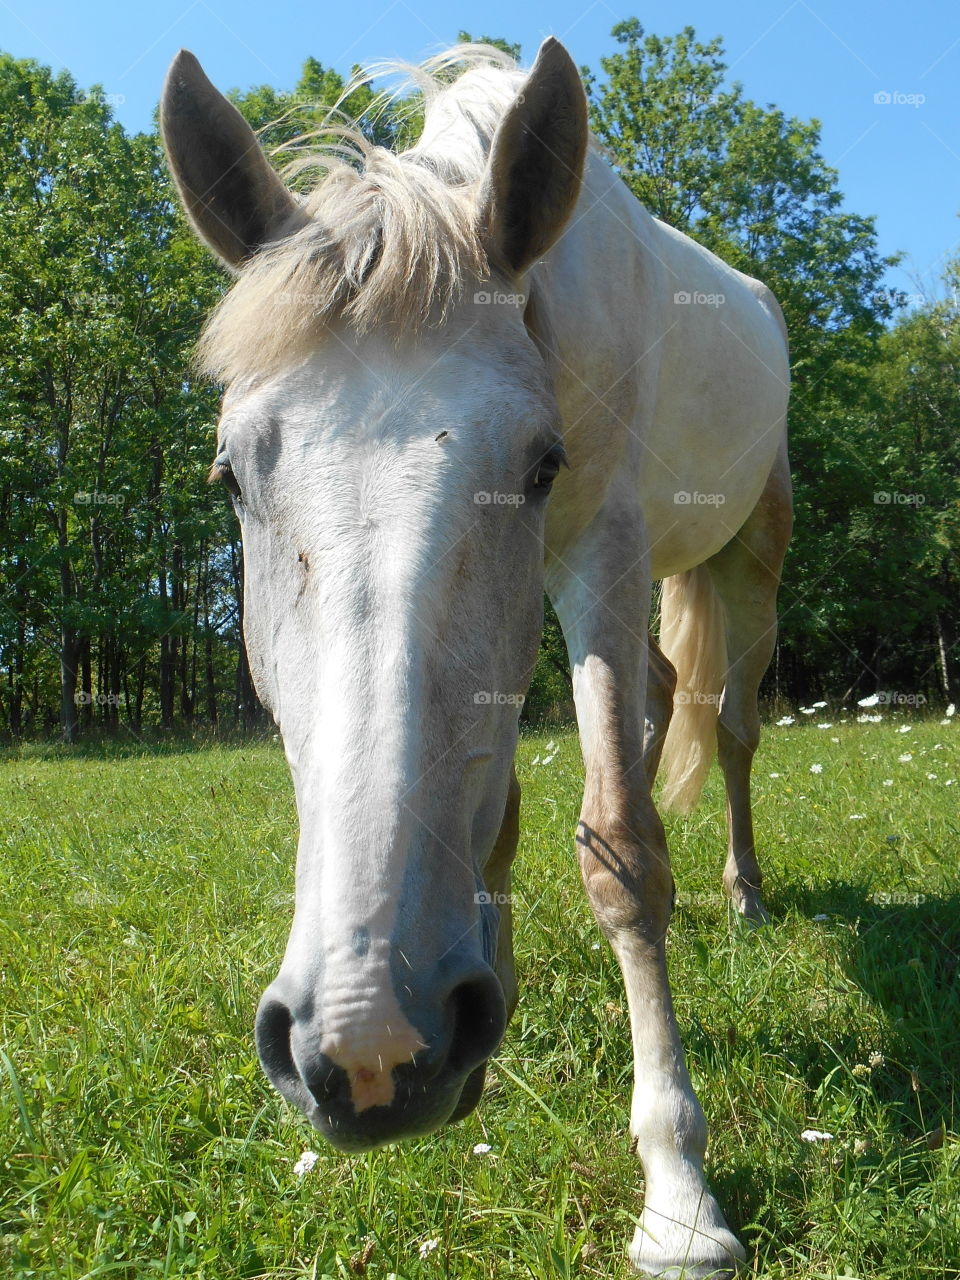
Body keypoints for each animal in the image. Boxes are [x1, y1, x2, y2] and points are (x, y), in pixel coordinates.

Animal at [161, 35, 793, 1274]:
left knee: (733, 727)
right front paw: (489, 993)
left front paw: (680, 1190)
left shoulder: (599, 549)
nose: (366, 1047)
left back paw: (743, 893)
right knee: (660, 699)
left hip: (748, 550)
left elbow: (622, 853)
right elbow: (503, 809)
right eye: (230, 475)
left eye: (541, 461)